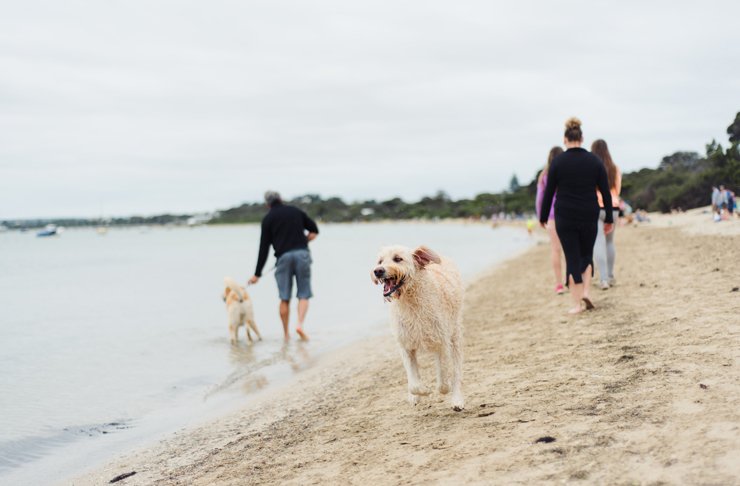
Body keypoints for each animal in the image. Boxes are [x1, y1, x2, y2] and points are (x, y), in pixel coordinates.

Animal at [372, 243, 466, 410]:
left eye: (398, 259)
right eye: (380, 261)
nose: (378, 271)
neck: (410, 300)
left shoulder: (441, 342)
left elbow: (442, 378)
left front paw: (444, 387)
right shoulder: (405, 345)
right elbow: (413, 383)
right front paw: (421, 392)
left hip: (454, 335)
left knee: (456, 370)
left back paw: (457, 399)